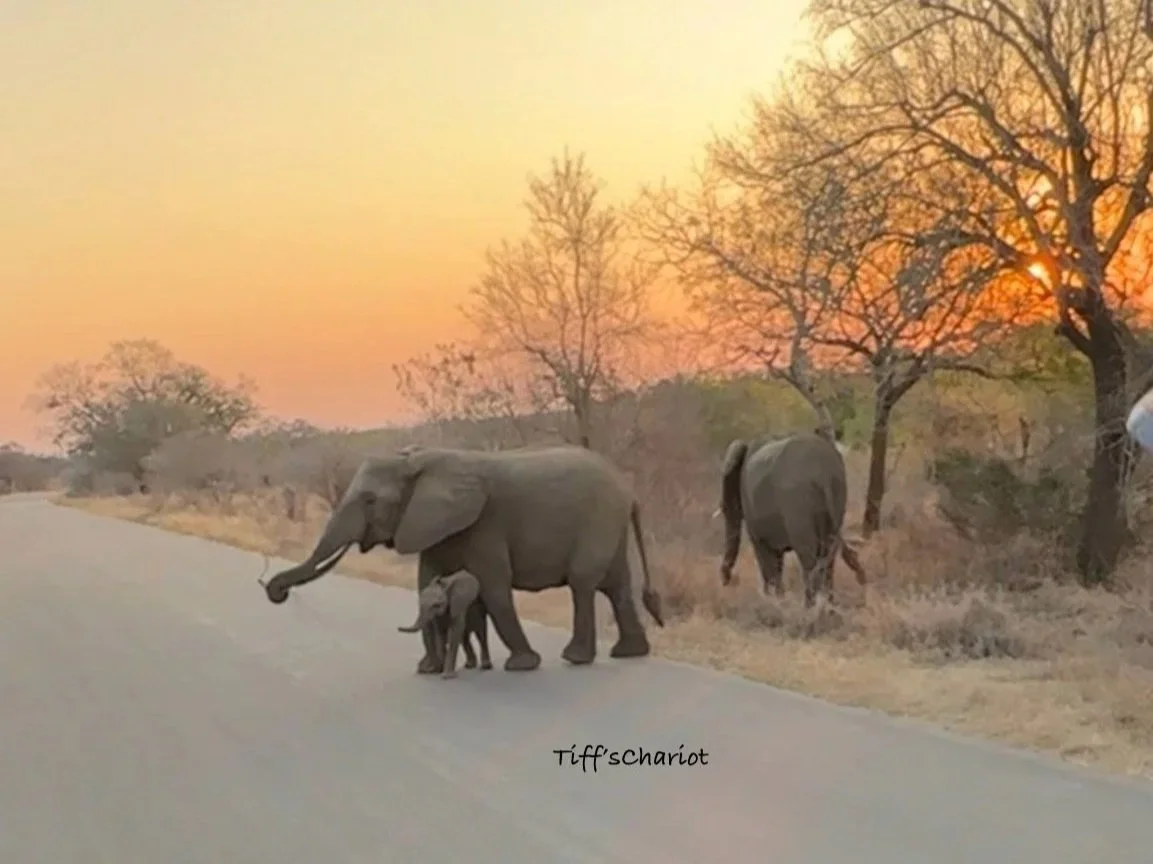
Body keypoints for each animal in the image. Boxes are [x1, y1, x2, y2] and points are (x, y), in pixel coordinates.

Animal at [260, 444, 665, 674]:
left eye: (371, 501)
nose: (276, 591)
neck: (416, 462)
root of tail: (628, 490)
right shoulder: (429, 522)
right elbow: (425, 583)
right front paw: (428, 669)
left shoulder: (484, 523)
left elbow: (496, 589)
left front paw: (522, 666)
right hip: (609, 523)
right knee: (616, 585)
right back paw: (628, 653)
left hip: (598, 518)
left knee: (584, 582)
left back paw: (576, 659)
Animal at [717, 431, 866, 607]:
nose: (727, 580)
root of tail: (824, 472)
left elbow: (766, 559)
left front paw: (774, 603)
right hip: (838, 495)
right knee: (828, 559)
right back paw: (828, 607)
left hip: (798, 505)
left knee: (809, 558)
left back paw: (810, 609)